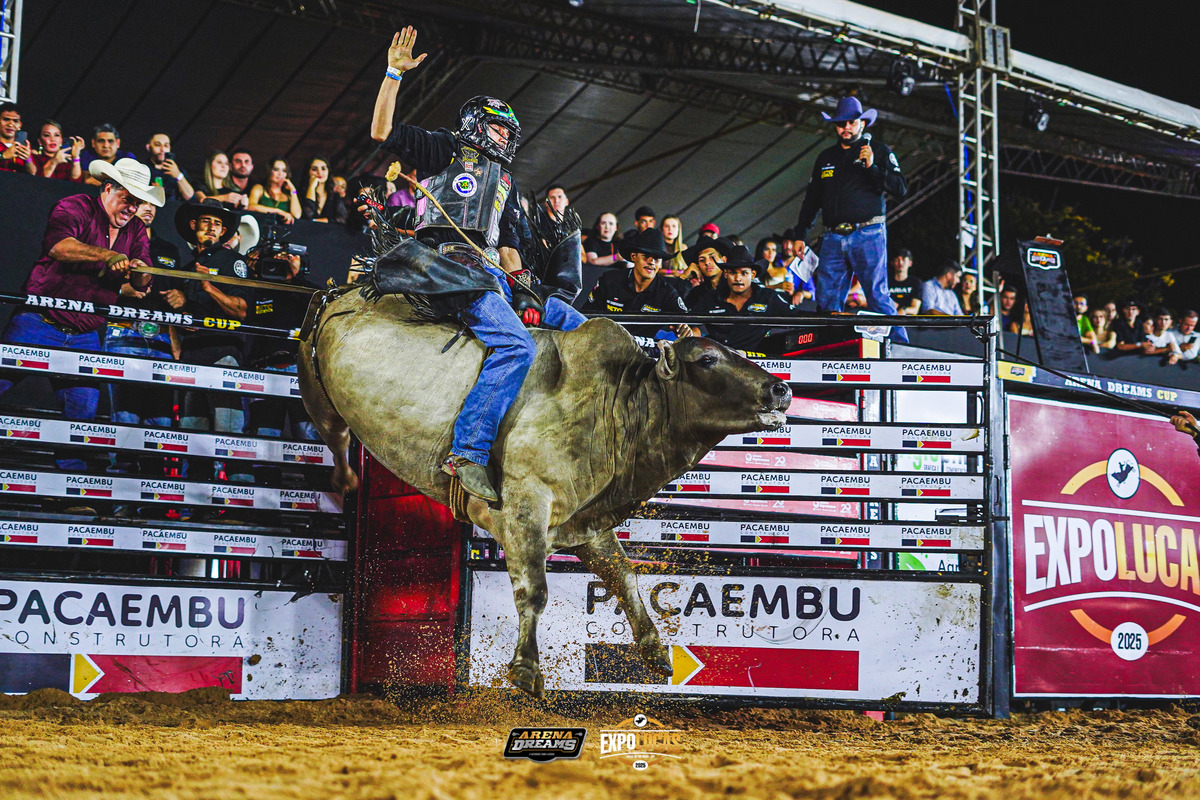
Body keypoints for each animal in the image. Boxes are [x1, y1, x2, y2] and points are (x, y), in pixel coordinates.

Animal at [298, 290, 791, 696]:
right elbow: (534, 589)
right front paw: (526, 669)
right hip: (316, 391)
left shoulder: (586, 522)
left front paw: (654, 651)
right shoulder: (524, 508)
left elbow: (624, 576)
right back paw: (344, 478)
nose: (781, 388)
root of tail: (343, 291)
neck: (615, 406)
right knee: (335, 434)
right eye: (707, 359)